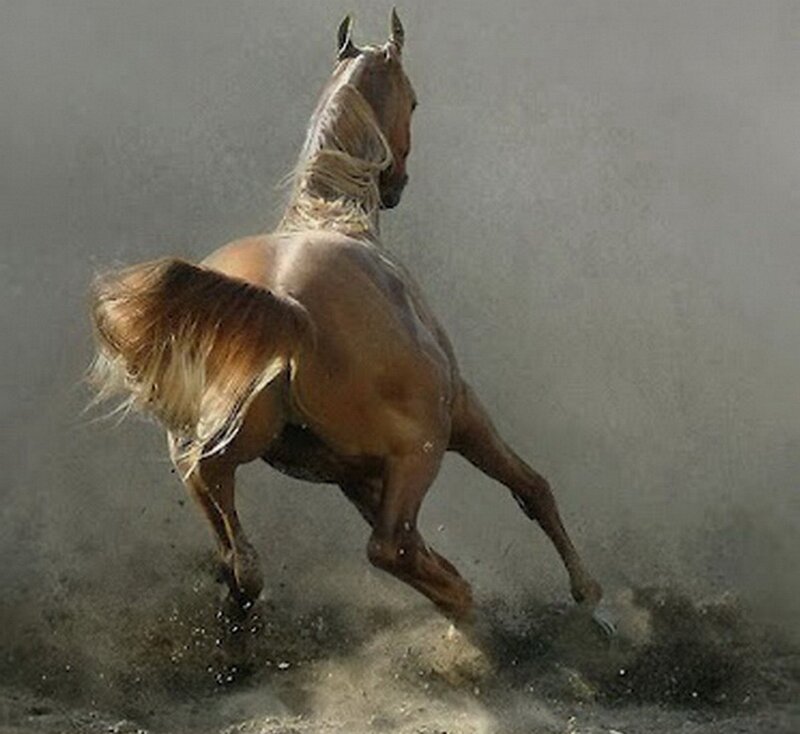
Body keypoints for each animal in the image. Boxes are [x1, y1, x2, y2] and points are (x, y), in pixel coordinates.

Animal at [89, 11, 608, 632]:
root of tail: (288, 307)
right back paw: (463, 600)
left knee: (216, 500)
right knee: (388, 545)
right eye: (414, 99)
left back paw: (246, 582)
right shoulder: (461, 412)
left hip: (225, 436)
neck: (334, 216)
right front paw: (588, 595)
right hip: (422, 447)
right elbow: (531, 488)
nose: (396, 185)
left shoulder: (351, 471)